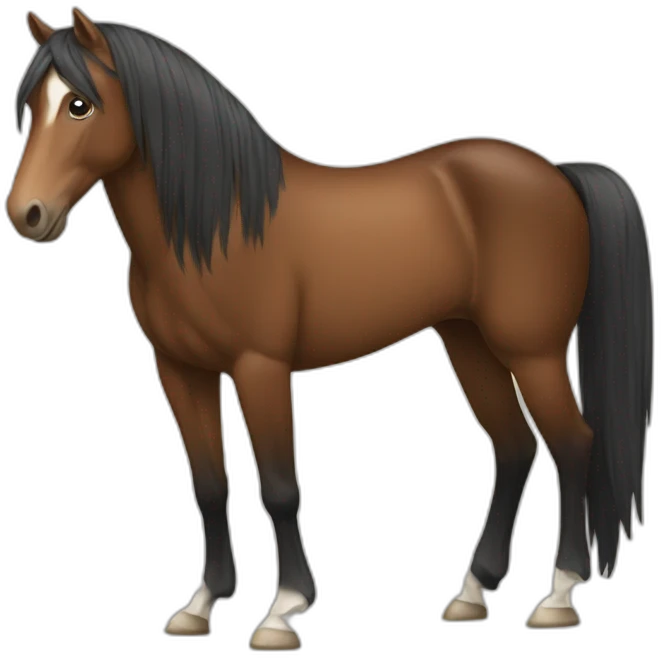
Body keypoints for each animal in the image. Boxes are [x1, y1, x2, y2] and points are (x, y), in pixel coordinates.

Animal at [6, 7, 654, 649]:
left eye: (79, 105)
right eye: (32, 105)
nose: (27, 215)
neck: (216, 225)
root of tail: (558, 175)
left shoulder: (259, 367)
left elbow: (279, 488)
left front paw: (283, 611)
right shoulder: (181, 371)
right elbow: (210, 486)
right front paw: (200, 606)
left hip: (533, 352)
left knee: (573, 444)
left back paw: (559, 596)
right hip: (468, 343)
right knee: (515, 446)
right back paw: (472, 593)